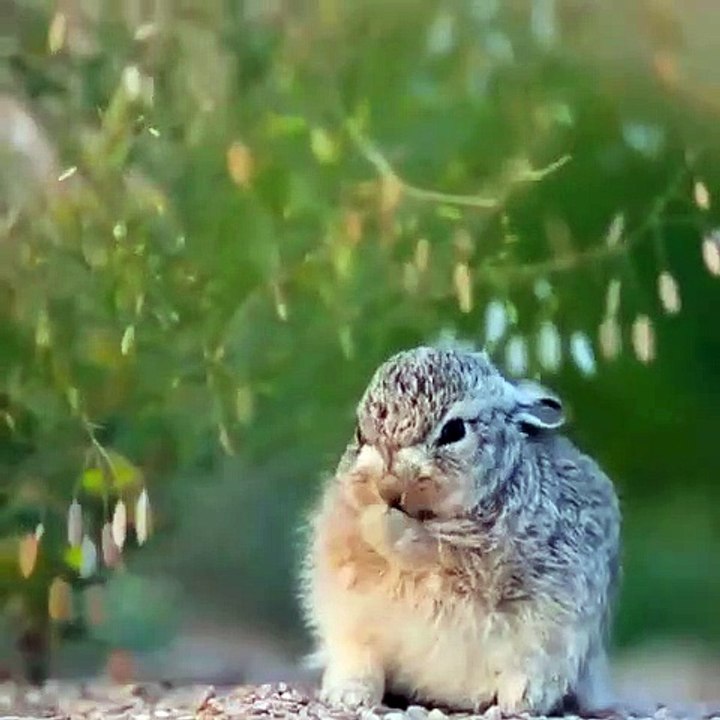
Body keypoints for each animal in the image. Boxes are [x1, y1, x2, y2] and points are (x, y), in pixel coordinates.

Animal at [298, 344, 621, 715]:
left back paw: (518, 703)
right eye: (360, 434)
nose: (389, 489)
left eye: (453, 432)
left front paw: (381, 521)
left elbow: (421, 546)